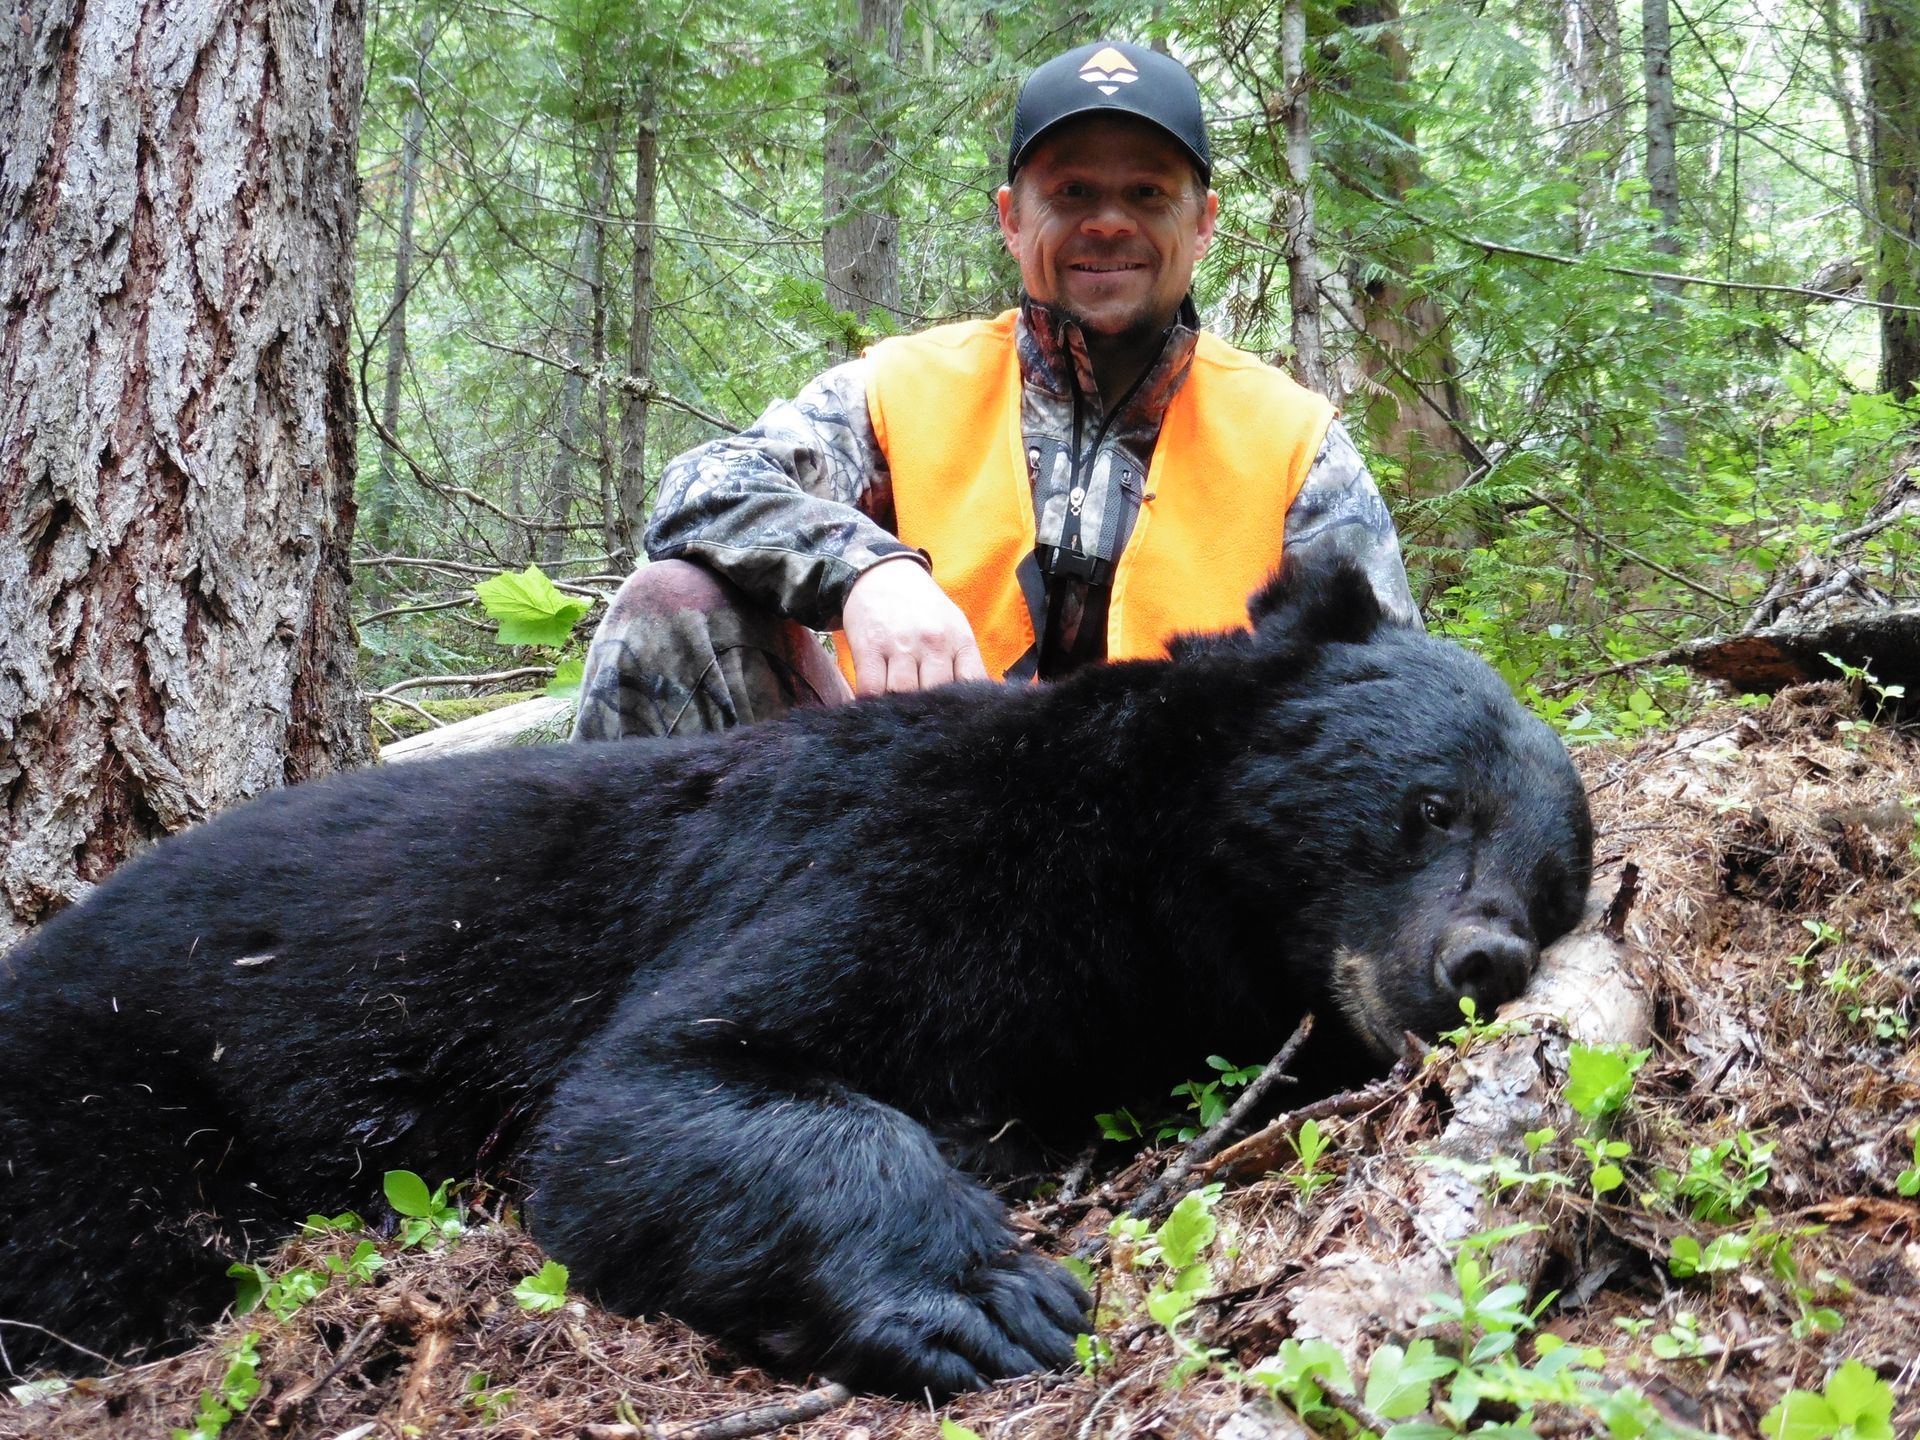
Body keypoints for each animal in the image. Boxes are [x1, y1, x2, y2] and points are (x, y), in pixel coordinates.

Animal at [0, 557, 1592, 1396]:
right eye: (1432, 805)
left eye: (1556, 881)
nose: (1481, 959)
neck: (1128, 872)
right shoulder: (890, 849)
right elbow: (650, 1089)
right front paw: (981, 1290)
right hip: (110, 1079)